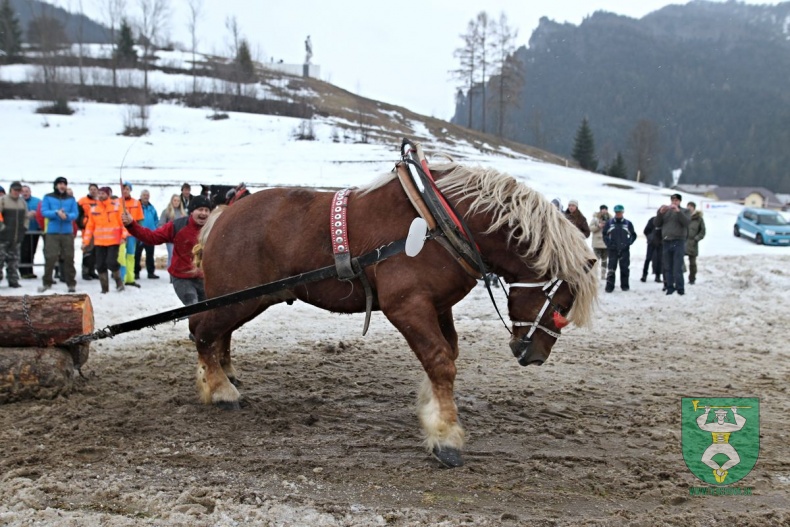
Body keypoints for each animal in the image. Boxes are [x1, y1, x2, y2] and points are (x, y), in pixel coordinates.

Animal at [193, 161, 600, 466]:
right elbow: (440, 361)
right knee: (201, 330)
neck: (440, 223)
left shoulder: (438, 305)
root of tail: (223, 215)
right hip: (236, 298)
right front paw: (446, 435)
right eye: (562, 306)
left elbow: (446, 355)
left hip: (246, 300)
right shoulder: (406, 304)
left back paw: (223, 373)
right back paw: (221, 389)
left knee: (216, 334)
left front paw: (432, 411)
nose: (536, 356)